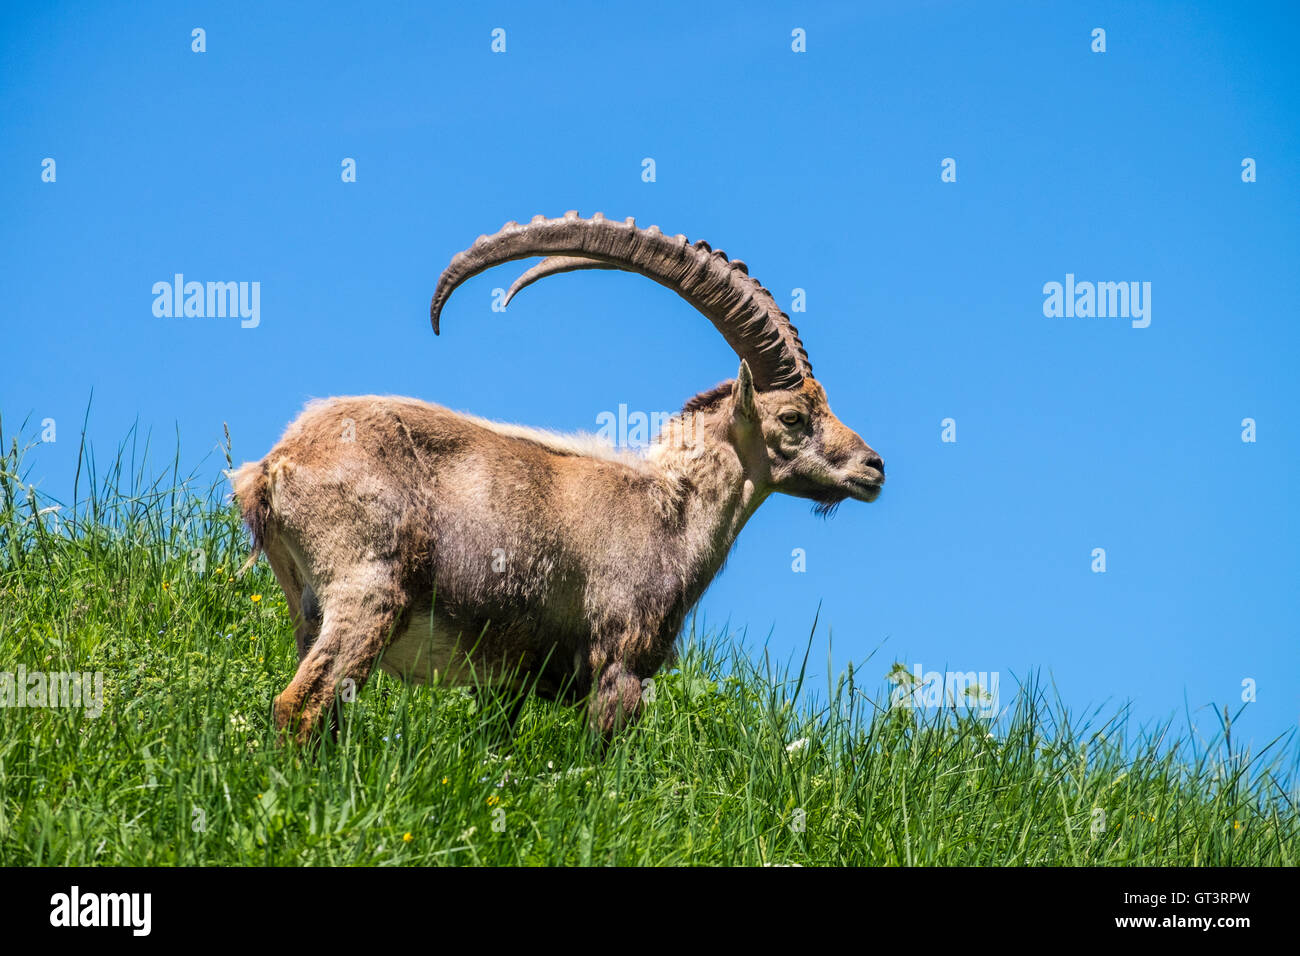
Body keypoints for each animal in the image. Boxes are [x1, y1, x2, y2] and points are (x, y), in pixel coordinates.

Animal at [231, 212, 885, 743]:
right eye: (793, 417)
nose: (874, 467)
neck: (669, 508)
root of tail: (274, 466)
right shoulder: (621, 659)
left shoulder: (507, 681)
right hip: (367, 592)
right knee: (301, 705)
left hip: (308, 609)